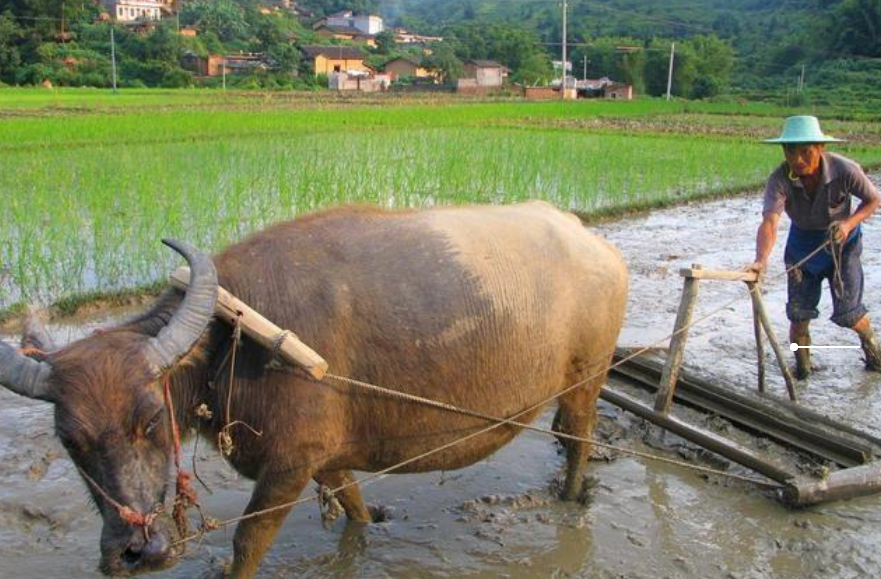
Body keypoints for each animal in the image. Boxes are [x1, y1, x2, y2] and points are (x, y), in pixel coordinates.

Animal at [3, 202, 628, 576]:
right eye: (70, 442)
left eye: (151, 419)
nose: (135, 551)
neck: (231, 339)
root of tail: (591, 242)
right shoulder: (325, 458)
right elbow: (352, 504)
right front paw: (371, 525)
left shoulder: (288, 465)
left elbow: (248, 541)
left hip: (586, 378)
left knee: (579, 436)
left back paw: (572, 496)